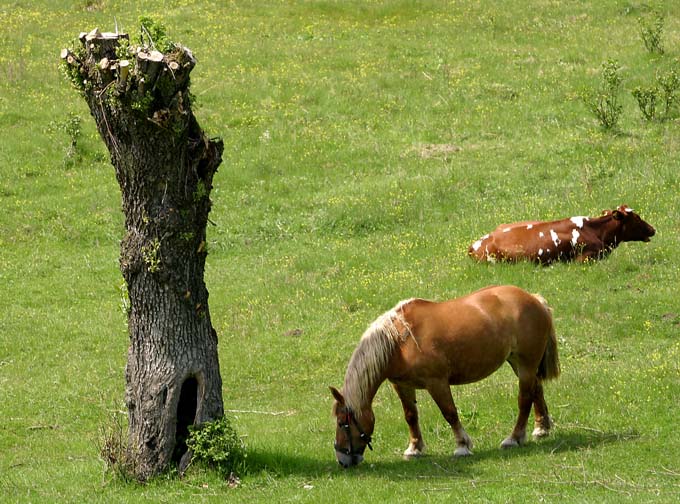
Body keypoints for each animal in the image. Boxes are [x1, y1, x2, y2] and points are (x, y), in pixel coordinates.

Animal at [330, 286, 556, 466]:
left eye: (342, 423)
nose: (342, 460)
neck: (399, 342)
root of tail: (534, 299)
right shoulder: (402, 385)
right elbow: (411, 416)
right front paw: (414, 449)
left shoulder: (436, 383)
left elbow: (450, 413)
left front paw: (462, 445)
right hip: (519, 363)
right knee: (537, 390)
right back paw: (541, 429)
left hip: (525, 365)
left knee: (524, 399)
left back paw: (514, 438)